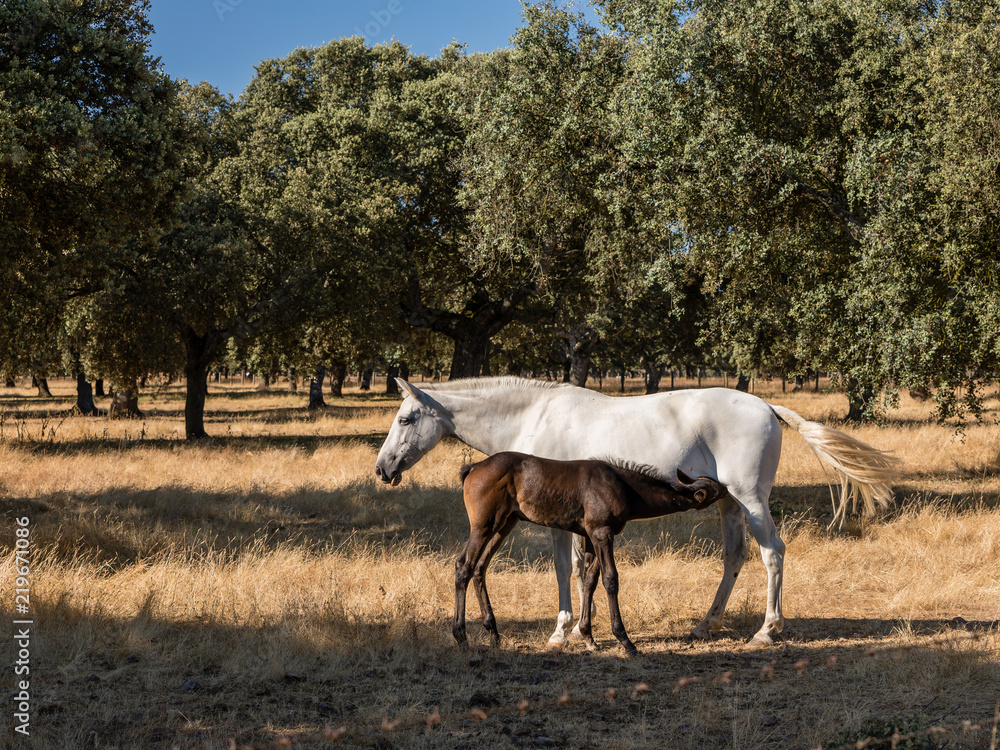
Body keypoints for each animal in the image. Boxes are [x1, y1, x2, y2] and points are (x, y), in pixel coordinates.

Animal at [454, 452, 728, 656]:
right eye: (719, 491)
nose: (730, 490)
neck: (623, 486)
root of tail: (474, 467)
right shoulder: (601, 533)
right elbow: (610, 579)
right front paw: (625, 640)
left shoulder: (590, 536)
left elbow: (589, 580)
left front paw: (588, 637)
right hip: (484, 525)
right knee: (464, 565)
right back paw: (460, 635)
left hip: (505, 524)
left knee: (480, 567)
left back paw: (493, 633)